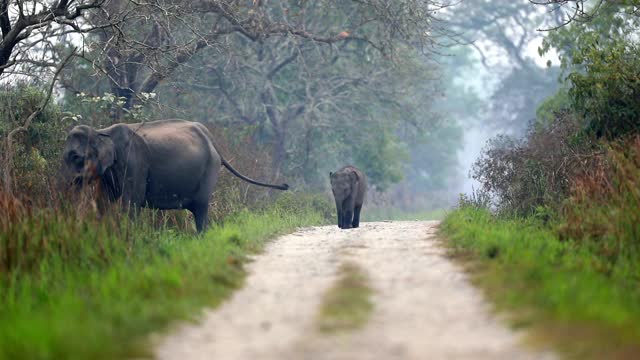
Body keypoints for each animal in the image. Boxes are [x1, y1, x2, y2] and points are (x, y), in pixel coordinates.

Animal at [62, 119, 288, 231]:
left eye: (76, 157)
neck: (102, 131)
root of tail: (213, 141)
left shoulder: (134, 163)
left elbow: (132, 202)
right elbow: (103, 201)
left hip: (209, 171)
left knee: (200, 209)